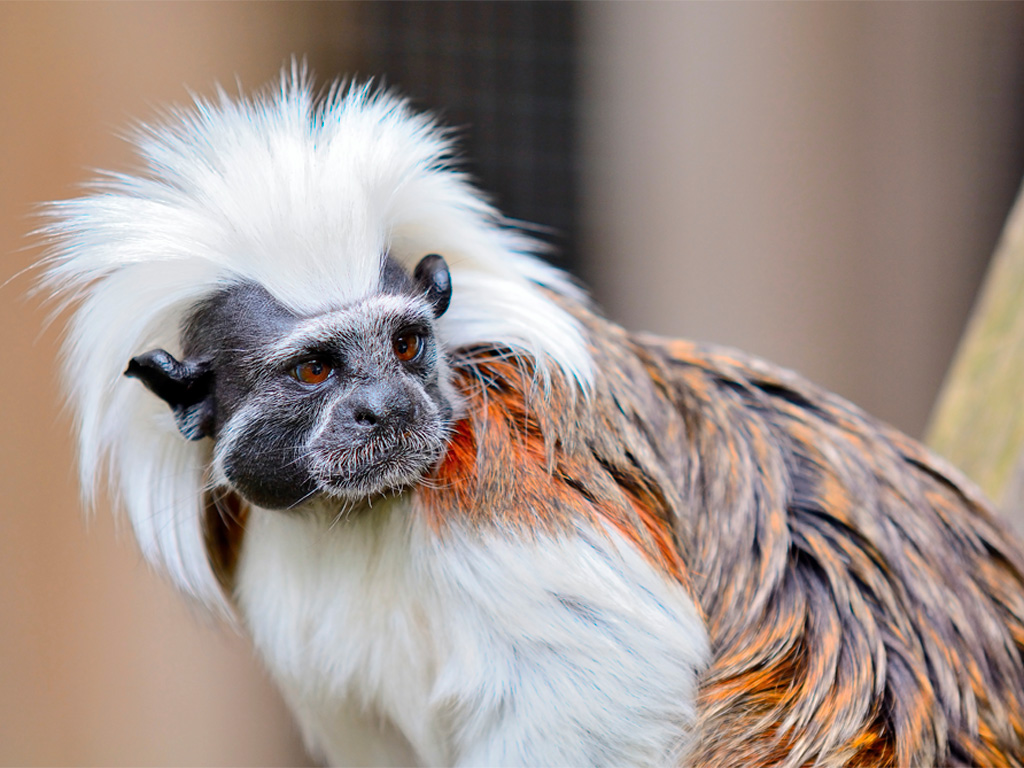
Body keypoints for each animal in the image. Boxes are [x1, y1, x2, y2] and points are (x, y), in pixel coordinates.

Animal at [40, 67, 1024, 766]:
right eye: (316, 369)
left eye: (406, 346)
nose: (386, 407)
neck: (365, 515)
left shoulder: (509, 462)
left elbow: (608, 683)